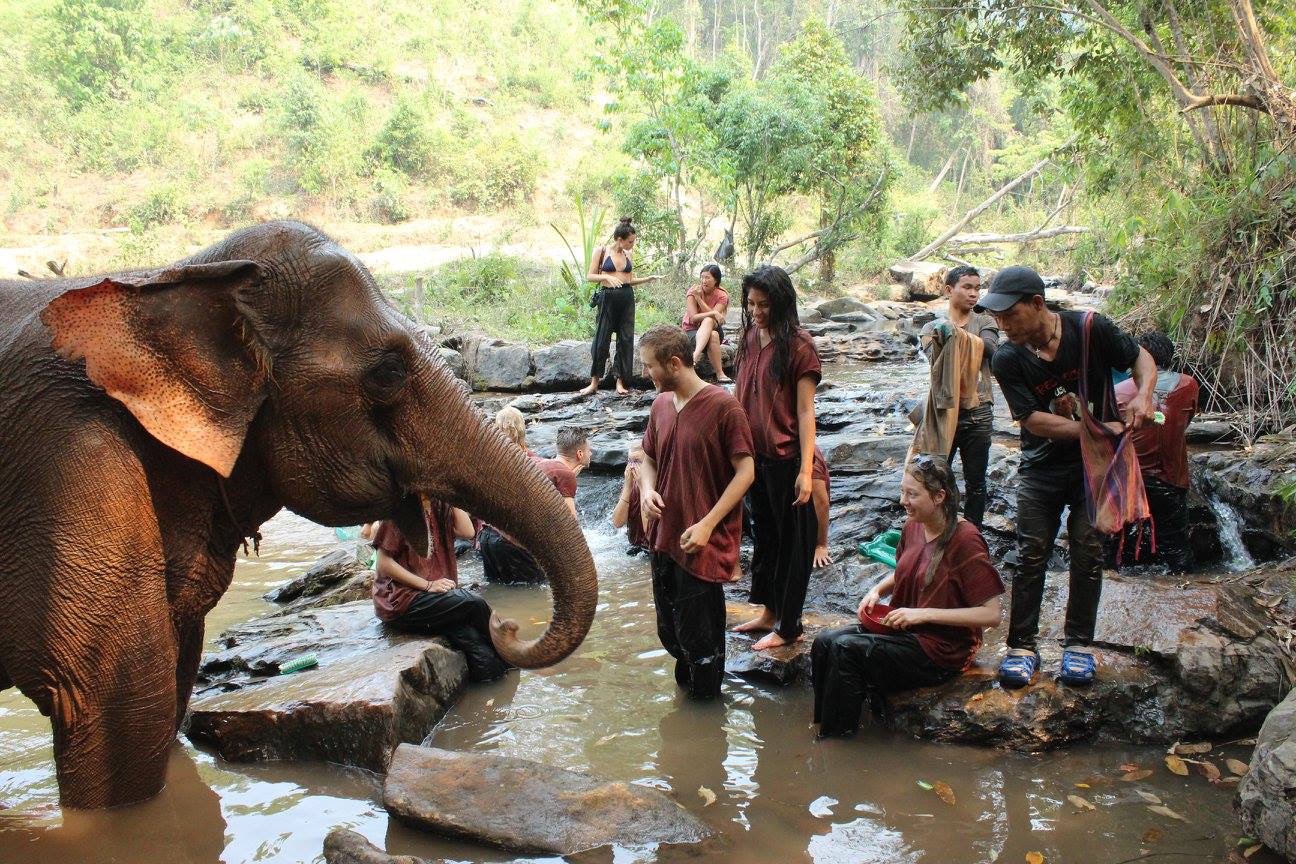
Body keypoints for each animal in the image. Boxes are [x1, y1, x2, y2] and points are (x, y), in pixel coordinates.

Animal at [0, 221, 598, 809]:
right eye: (387, 371)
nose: (508, 624)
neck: (181, 274)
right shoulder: (70, 459)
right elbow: (115, 697)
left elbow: (175, 671)